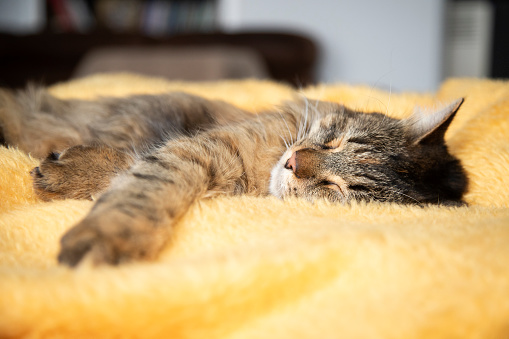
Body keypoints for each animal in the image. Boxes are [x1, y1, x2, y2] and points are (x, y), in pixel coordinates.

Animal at [0, 86, 468, 266]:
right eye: (337, 143)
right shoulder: (206, 147)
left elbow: (136, 169)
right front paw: (106, 234)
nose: (293, 163)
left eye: (336, 191)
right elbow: (144, 181)